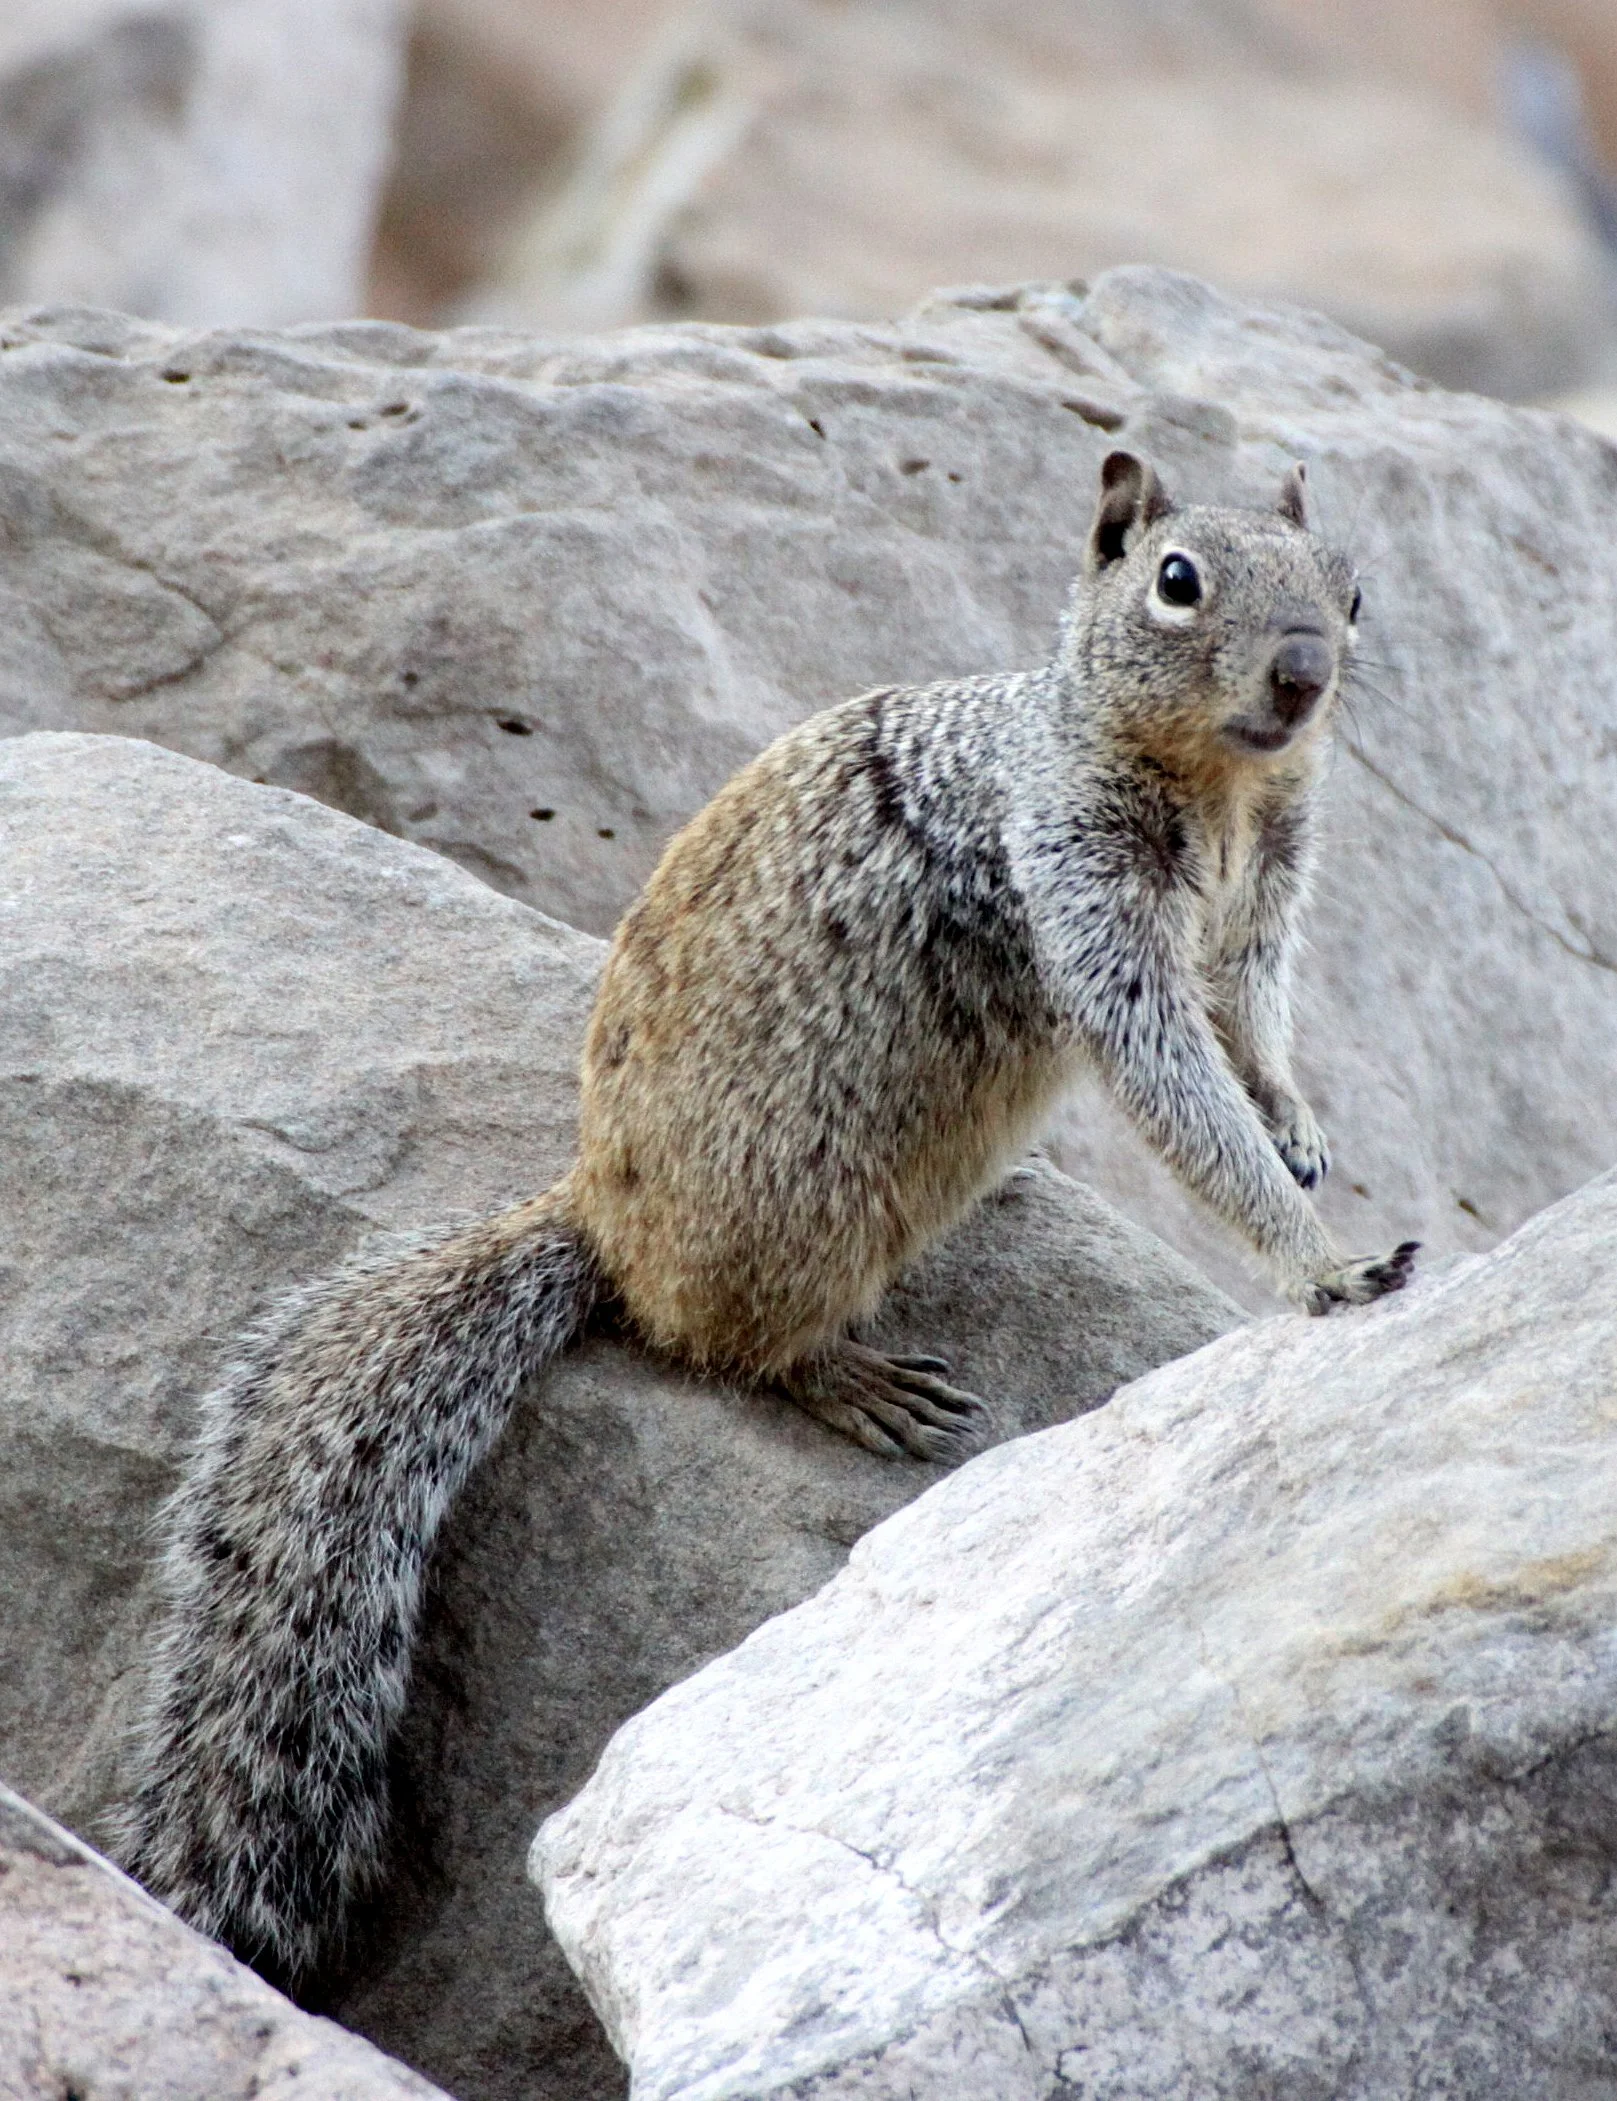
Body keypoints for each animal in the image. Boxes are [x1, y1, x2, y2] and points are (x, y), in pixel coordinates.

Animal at [112, 448, 1417, 1988]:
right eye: (1177, 581)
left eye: (1351, 586)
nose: (1305, 674)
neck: (1219, 786)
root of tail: (596, 1219)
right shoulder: (1080, 886)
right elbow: (1173, 1079)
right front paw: (1326, 1262)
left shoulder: (1265, 893)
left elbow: (1254, 1018)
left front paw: (1301, 1129)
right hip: (812, 1207)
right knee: (721, 1344)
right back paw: (860, 1378)